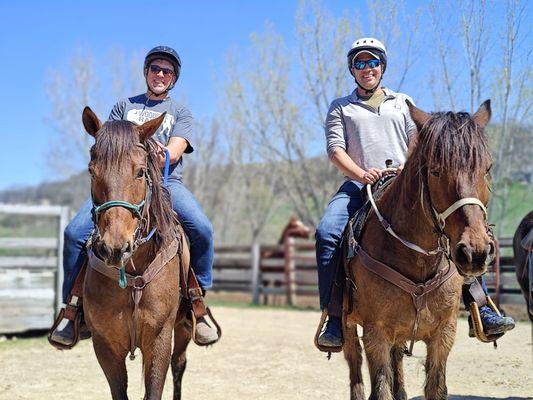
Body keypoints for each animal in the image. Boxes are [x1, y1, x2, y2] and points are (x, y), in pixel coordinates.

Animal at [81, 107, 191, 400]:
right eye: (92, 172)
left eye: (141, 172)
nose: (115, 247)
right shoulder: (104, 345)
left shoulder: (160, 338)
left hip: (184, 327)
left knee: (179, 364)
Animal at [342, 101, 492, 400]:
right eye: (435, 171)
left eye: (486, 168)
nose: (474, 253)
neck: (418, 261)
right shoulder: (376, 333)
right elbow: (380, 387)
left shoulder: (444, 333)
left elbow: (436, 387)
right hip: (348, 324)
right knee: (355, 363)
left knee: (397, 357)